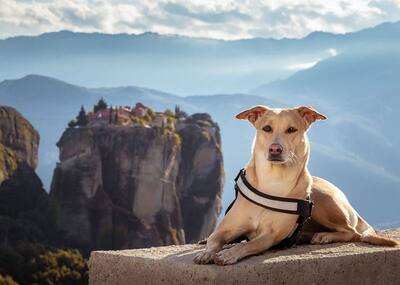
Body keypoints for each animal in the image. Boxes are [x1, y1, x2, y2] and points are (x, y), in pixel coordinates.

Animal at [193, 105, 396, 266]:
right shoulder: (225, 230)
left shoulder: (269, 236)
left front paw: (228, 254)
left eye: (291, 129)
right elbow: (214, 240)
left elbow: (250, 244)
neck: (273, 181)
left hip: (321, 199)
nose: (275, 149)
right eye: (267, 128)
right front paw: (206, 253)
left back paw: (324, 236)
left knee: (352, 232)